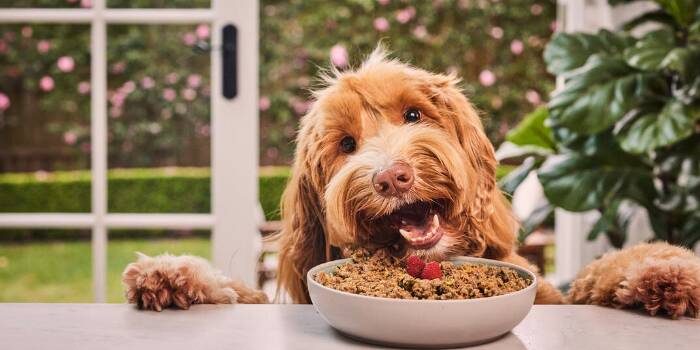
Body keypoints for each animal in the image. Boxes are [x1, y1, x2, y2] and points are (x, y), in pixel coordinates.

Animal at [121, 46, 700, 318]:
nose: (392, 177)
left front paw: (665, 269)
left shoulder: (554, 297)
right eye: (346, 145)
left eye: (415, 114)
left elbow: (599, 273)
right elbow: (240, 293)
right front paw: (173, 273)